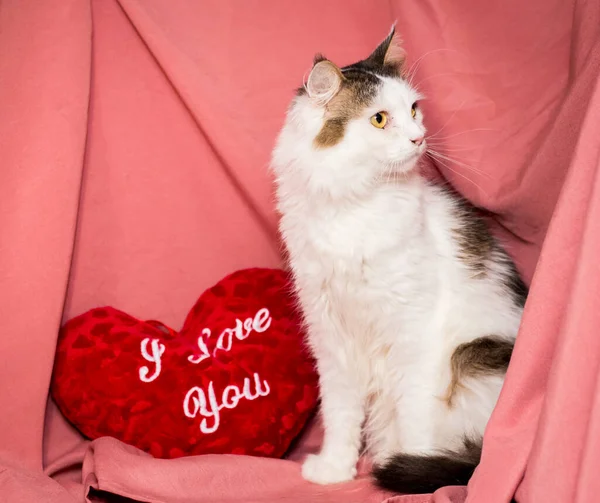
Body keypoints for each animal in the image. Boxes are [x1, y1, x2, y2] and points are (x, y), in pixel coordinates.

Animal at [270, 25, 528, 494]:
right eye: (379, 119)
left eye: (413, 110)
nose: (418, 138)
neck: (353, 206)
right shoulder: (330, 336)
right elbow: (340, 416)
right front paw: (334, 470)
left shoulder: (413, 333)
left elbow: (414, 418)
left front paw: (408, 466)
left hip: (470, 358)